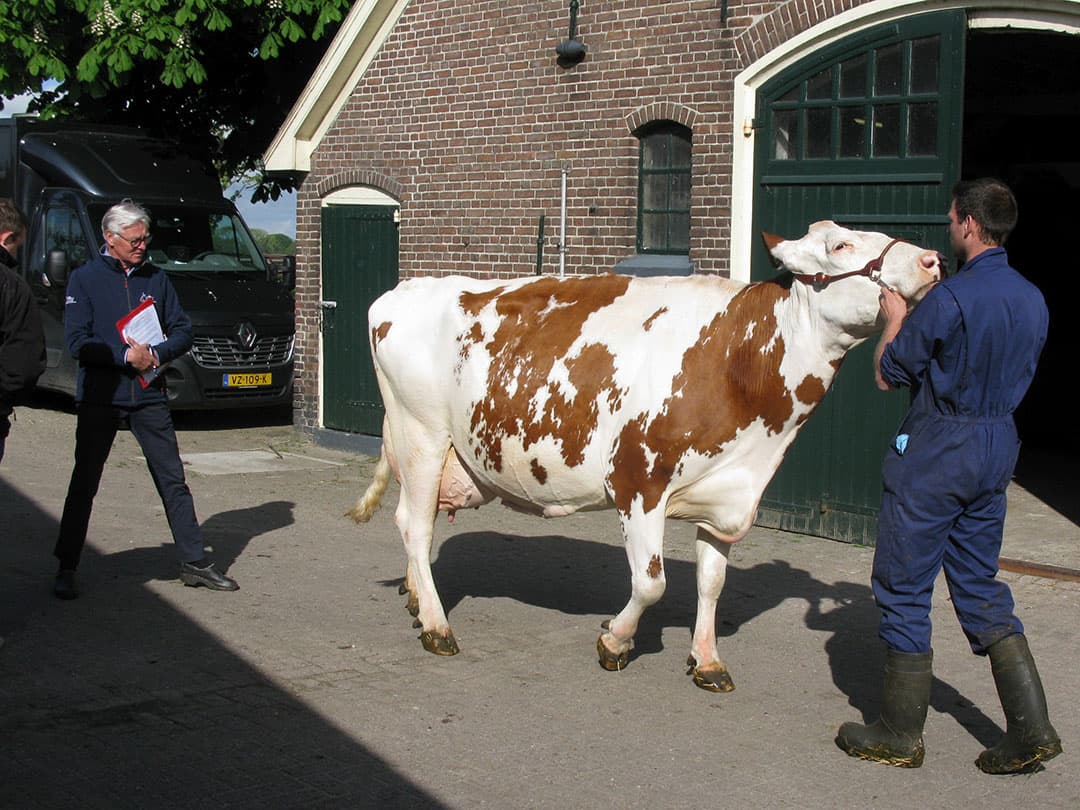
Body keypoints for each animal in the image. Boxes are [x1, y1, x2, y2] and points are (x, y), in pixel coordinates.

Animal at [349, 221, 943, 692]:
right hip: (421, 434)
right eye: (842, 244)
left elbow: (711, 582)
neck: (739, 362)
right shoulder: (639, 481)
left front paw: (707, 660)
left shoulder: (727, 496)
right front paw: (615, 641)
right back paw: (436, 626)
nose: (931, 260)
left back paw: (415, 597)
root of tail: (403, 289)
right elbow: (651, 583)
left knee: (411, 524)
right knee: (416, 526)